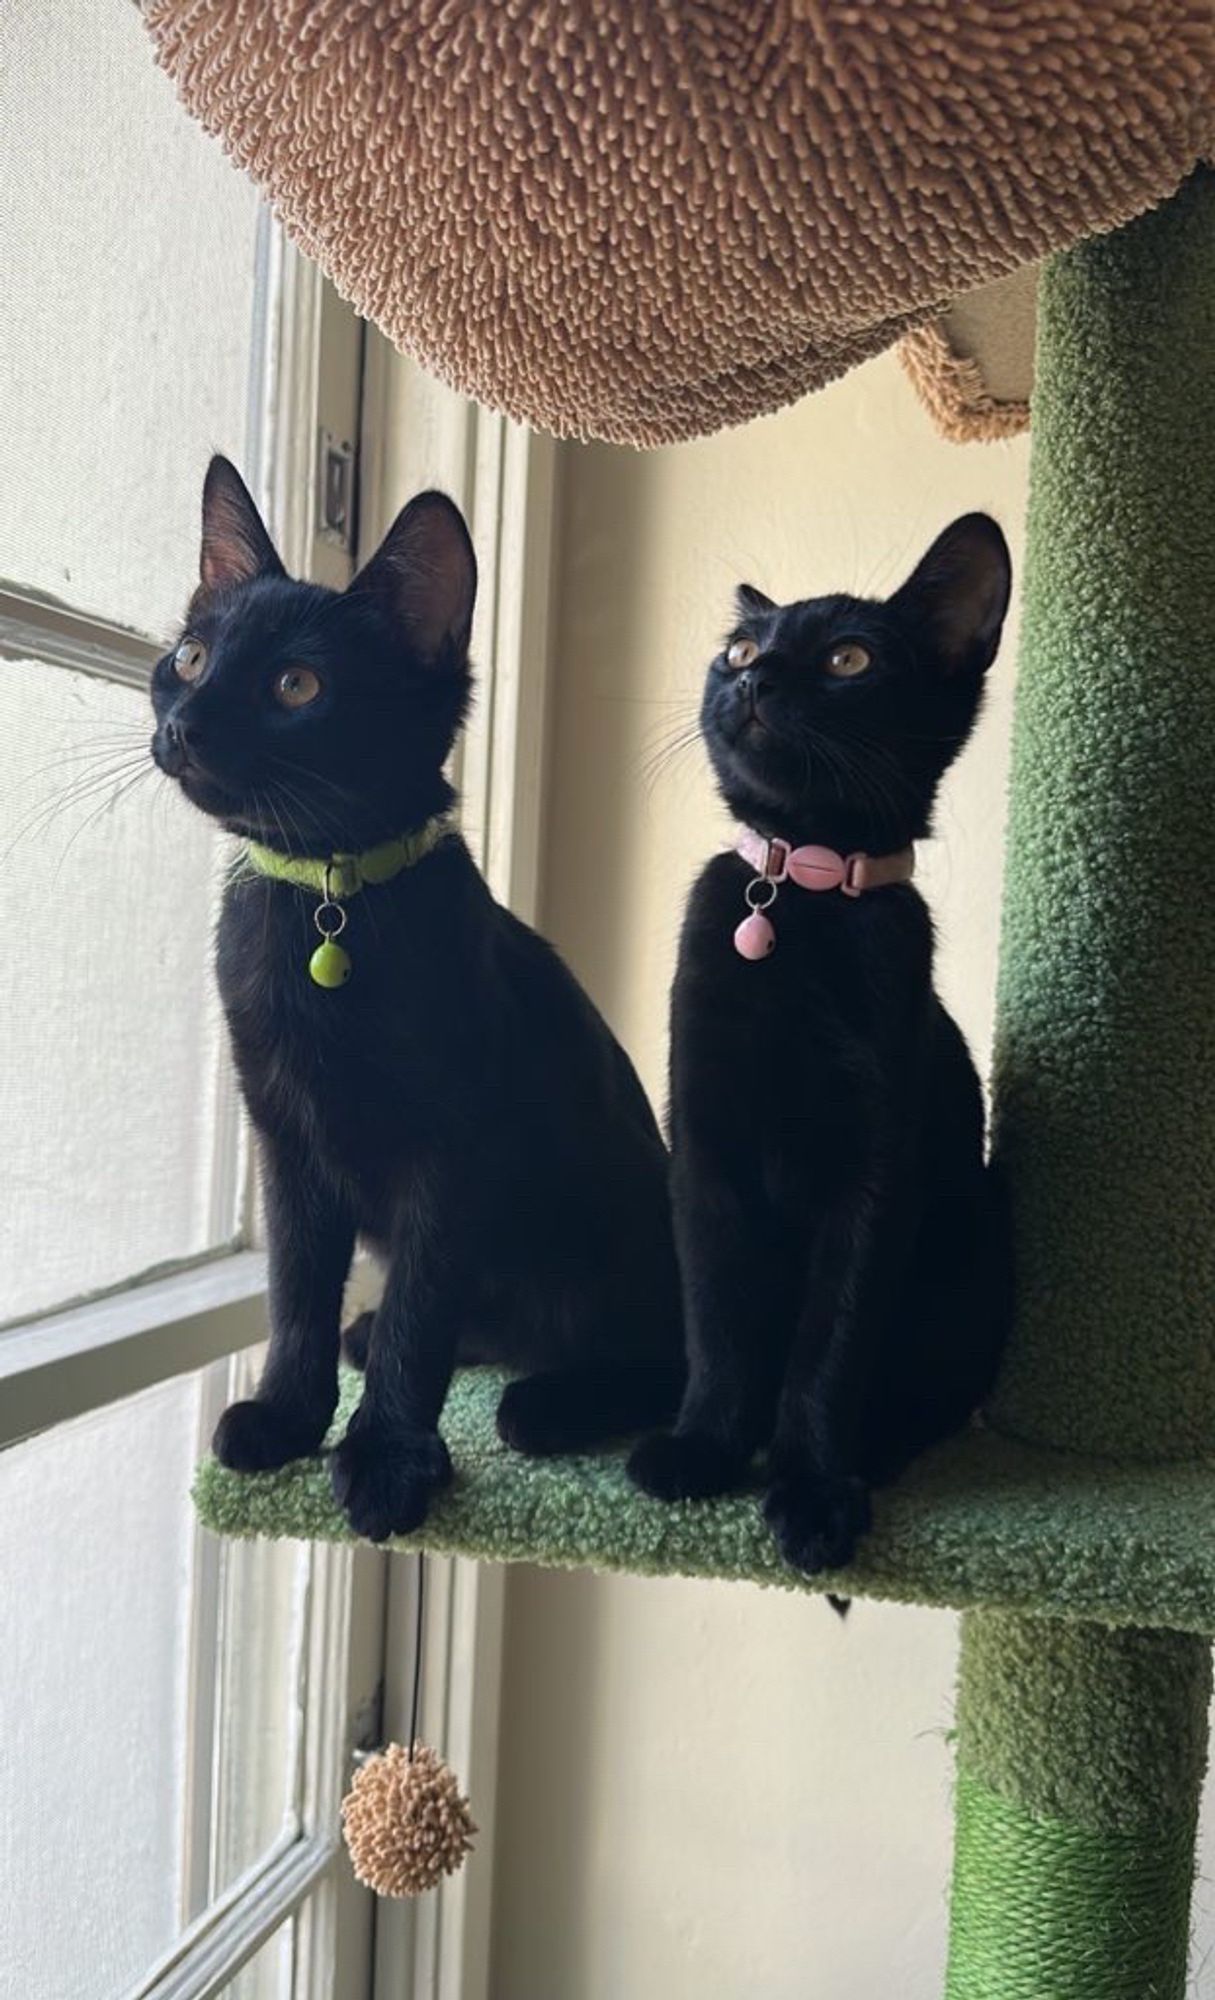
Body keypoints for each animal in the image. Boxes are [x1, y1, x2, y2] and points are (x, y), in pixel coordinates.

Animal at [151, 460, 683, 1536]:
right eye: (189, 656)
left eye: (297, 686)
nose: (182, 723)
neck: (325, 898)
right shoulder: (286, 1142)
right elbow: (296, 1288)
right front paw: (290, 1415)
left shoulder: (455, 1149)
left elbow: (419, 1308)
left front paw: (388, 1454)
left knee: (667, 1360)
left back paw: (552, 1403)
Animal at [627, 516, 1015, 1576]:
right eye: (738, 650)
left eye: (849, 660)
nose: (755, 679)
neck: (793, 892)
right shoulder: (704, 1149)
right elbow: (719, 1317)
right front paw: (705, 1447)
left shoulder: (876, 1177)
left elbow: (829, 1345)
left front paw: (809, 1490)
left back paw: (874, 1452)